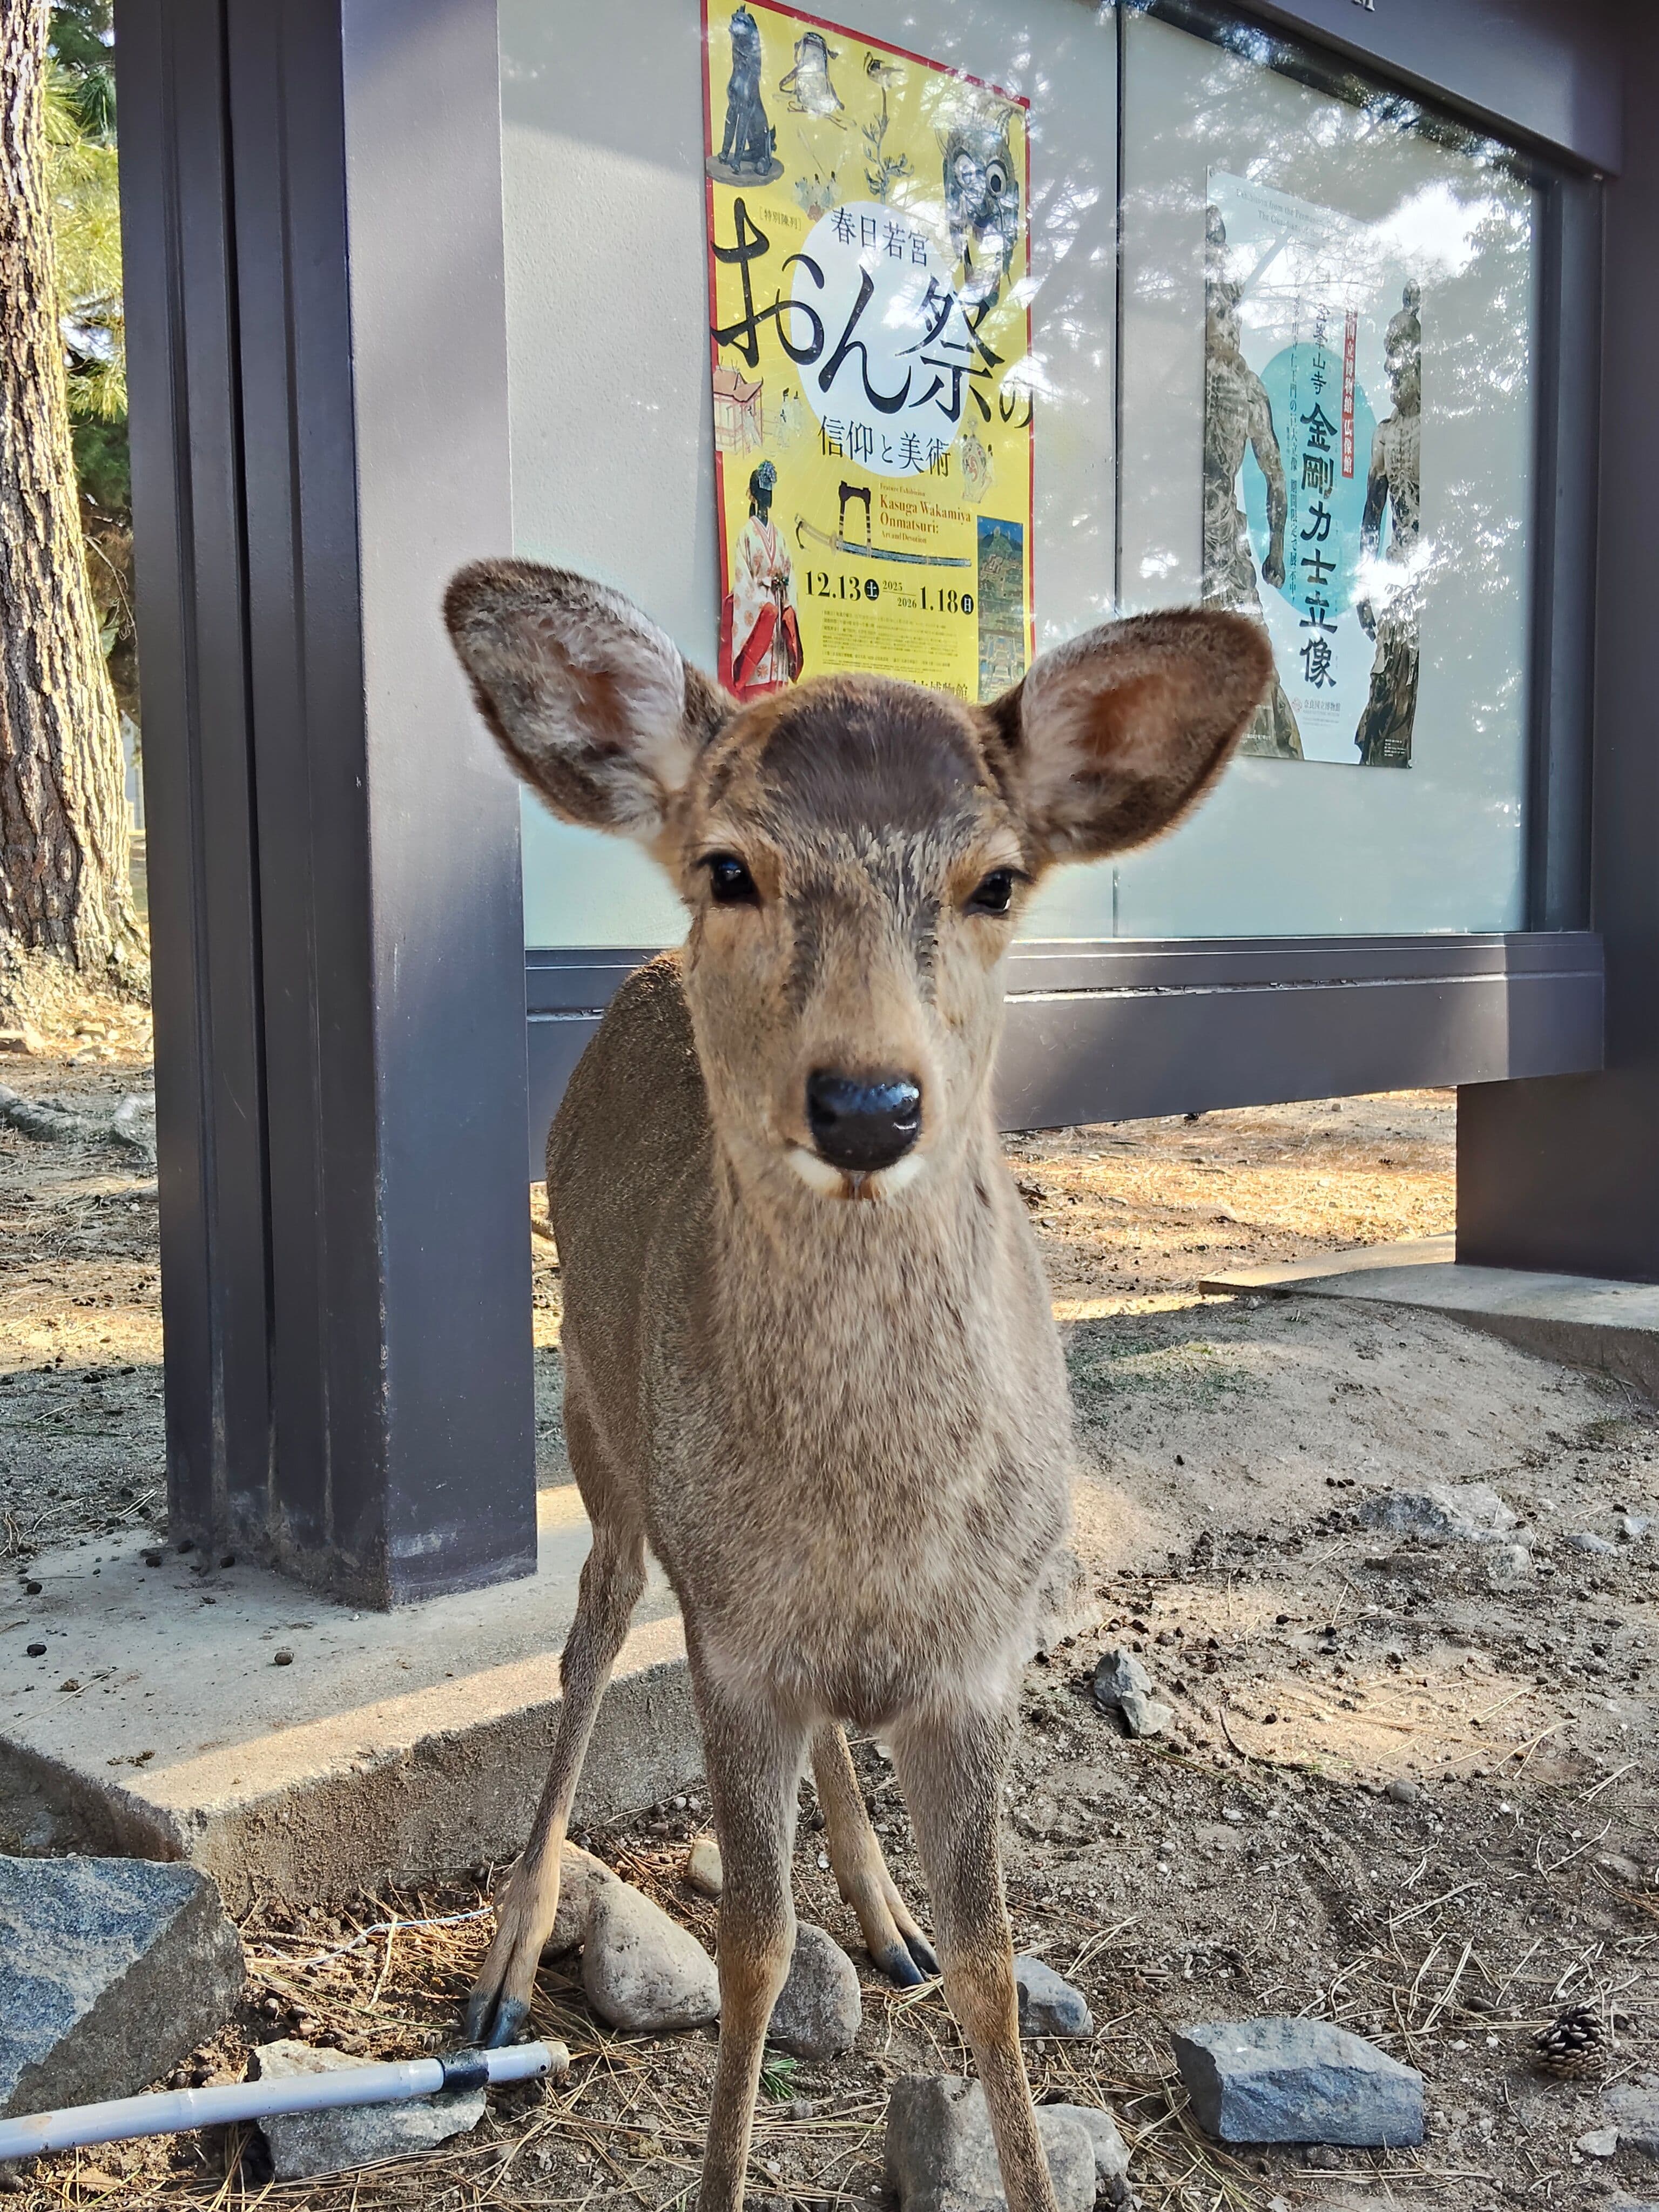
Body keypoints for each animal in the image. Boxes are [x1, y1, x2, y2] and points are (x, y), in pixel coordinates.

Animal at [444, 560, 1270, 2212]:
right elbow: (753, 1955)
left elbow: (997, 1965)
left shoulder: (982, 1661)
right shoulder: (732, 1651)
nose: (869, 1102)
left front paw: (937, 1965)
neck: (877, 1526)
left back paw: (881, 1918)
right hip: (602, 1428)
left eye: (997, 880)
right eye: (727, 866)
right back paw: (504, 1971)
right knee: (588, 1636)